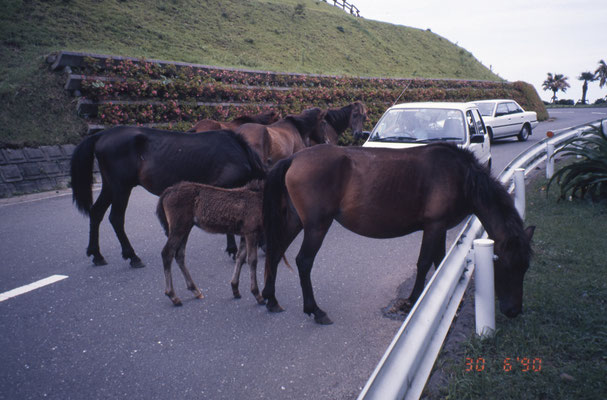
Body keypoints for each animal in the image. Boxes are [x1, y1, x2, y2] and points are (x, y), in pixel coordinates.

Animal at [70, 126, 264, 268]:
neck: (239, 153)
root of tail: (102, 134)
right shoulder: (223, 187)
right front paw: (232, 249)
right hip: (121, 187)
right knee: (116, 218)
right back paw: (132, 256)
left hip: (110, 186)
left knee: (96, 213)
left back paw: (96, 254)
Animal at [264, 144, 536, 324]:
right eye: (505, 265)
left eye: (525, 268)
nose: (514, 311)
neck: (461, 177)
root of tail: (294, 158)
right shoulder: (434, 226)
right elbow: (424, 263)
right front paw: (412, 301)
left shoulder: (439, 228)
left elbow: (440, 263)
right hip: (316, 226)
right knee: (303, 262)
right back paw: (315, 310)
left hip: (296, 221)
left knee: (275, 253)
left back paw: (271, 300)